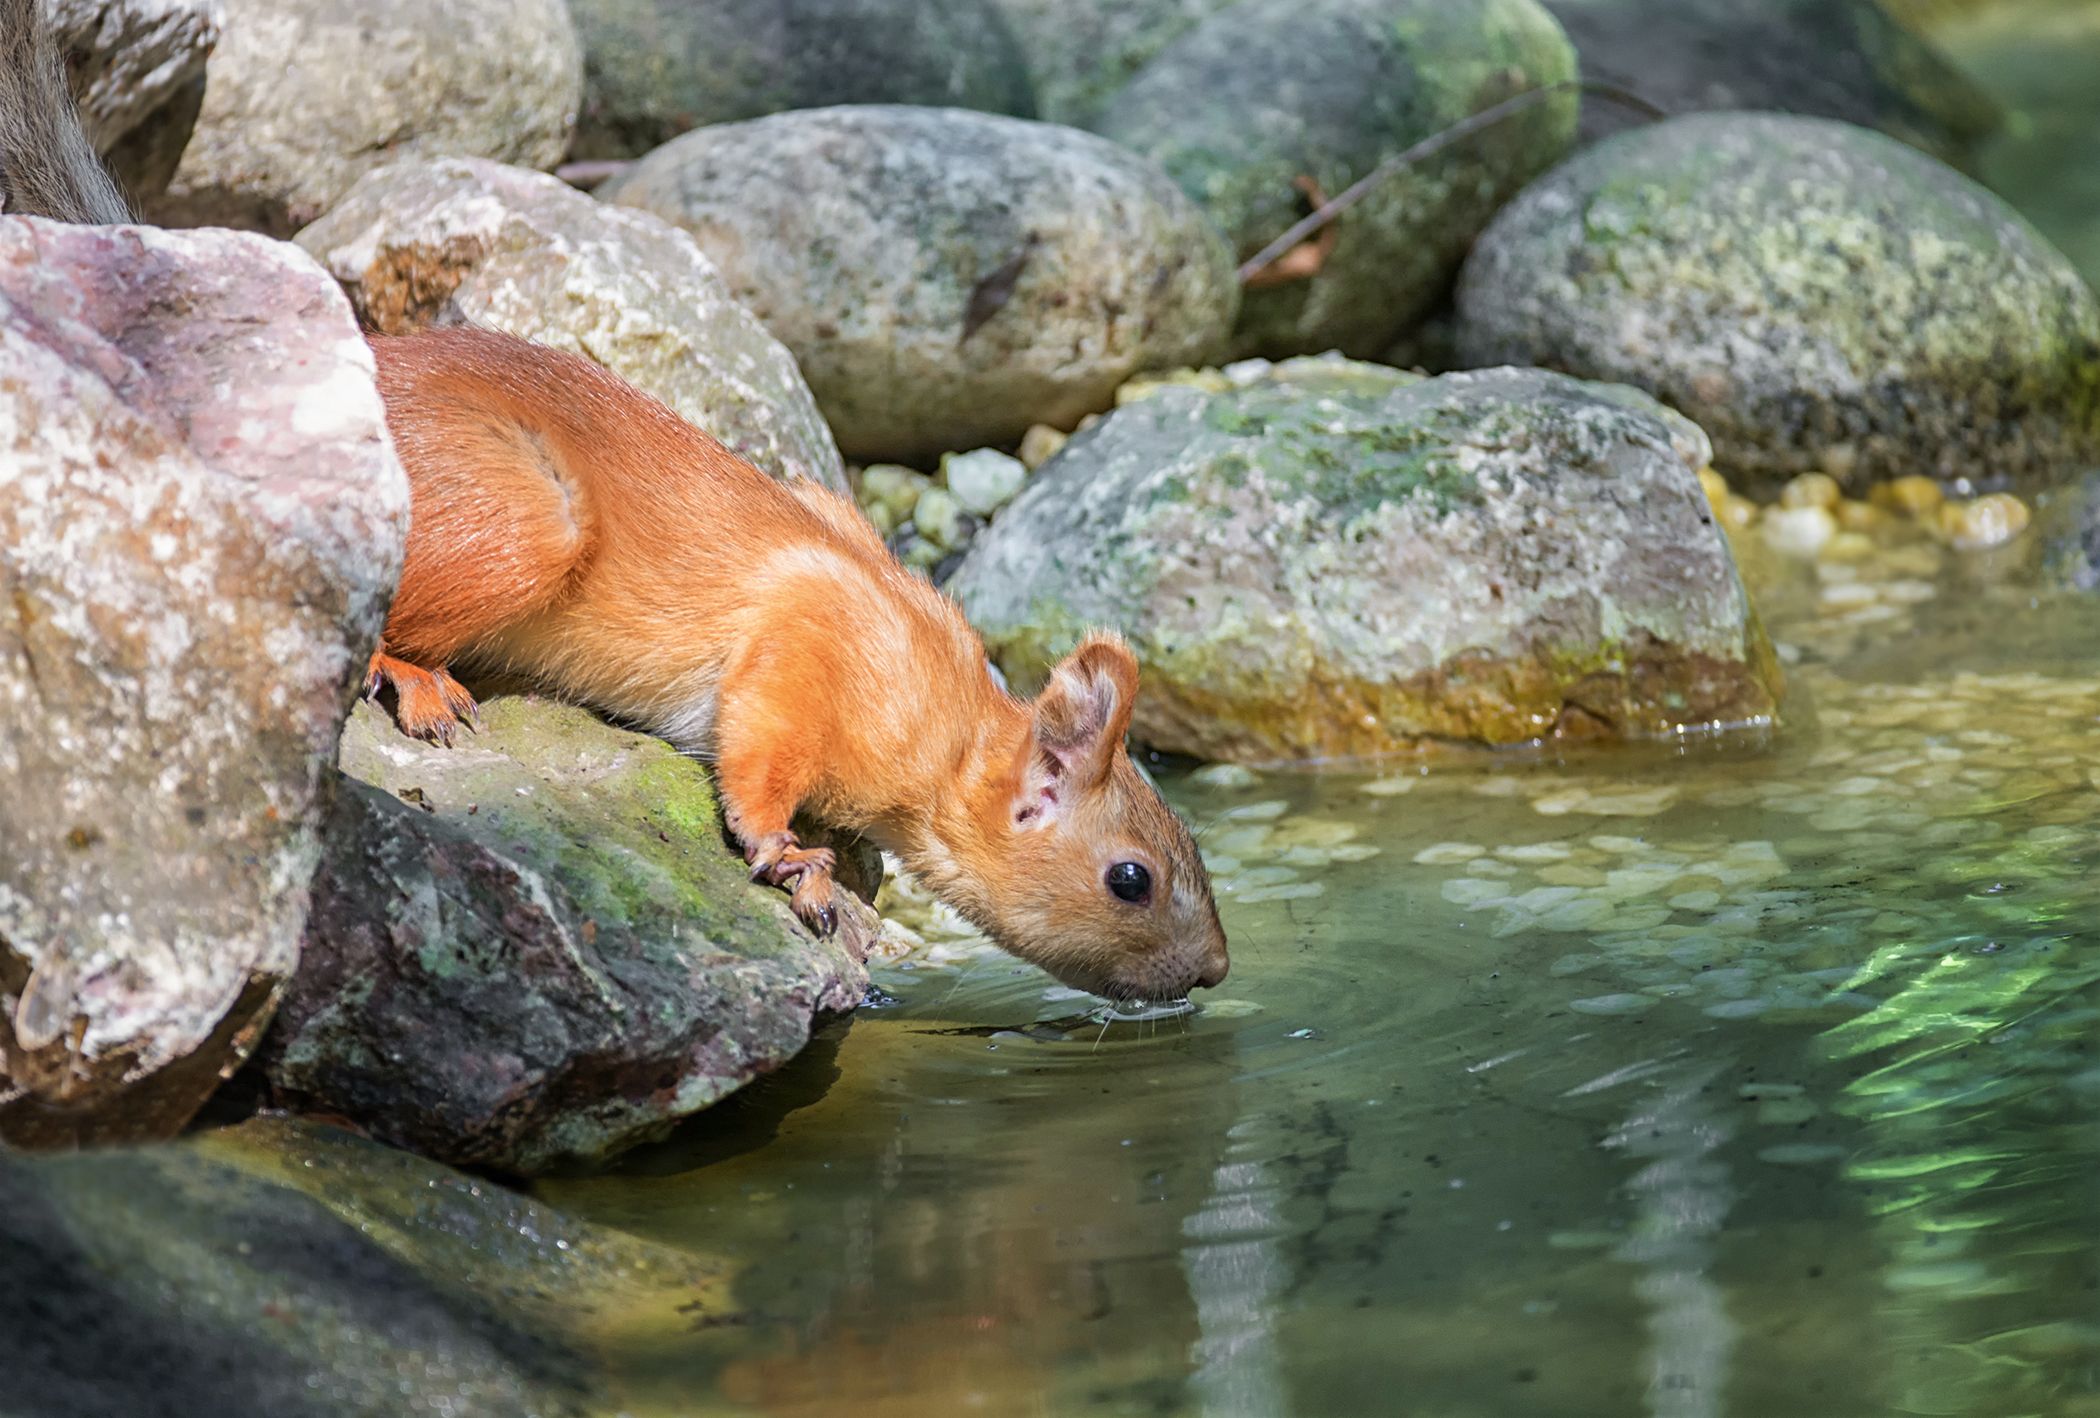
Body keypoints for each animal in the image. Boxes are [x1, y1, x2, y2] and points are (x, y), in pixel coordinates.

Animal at [4, 2, 1226, 999]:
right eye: (1130, 877)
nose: (1216, 970)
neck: (940, 716)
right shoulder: (806, 646)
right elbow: (758, 760)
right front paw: (796, 860)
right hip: (518, 520)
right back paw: (419, 680)